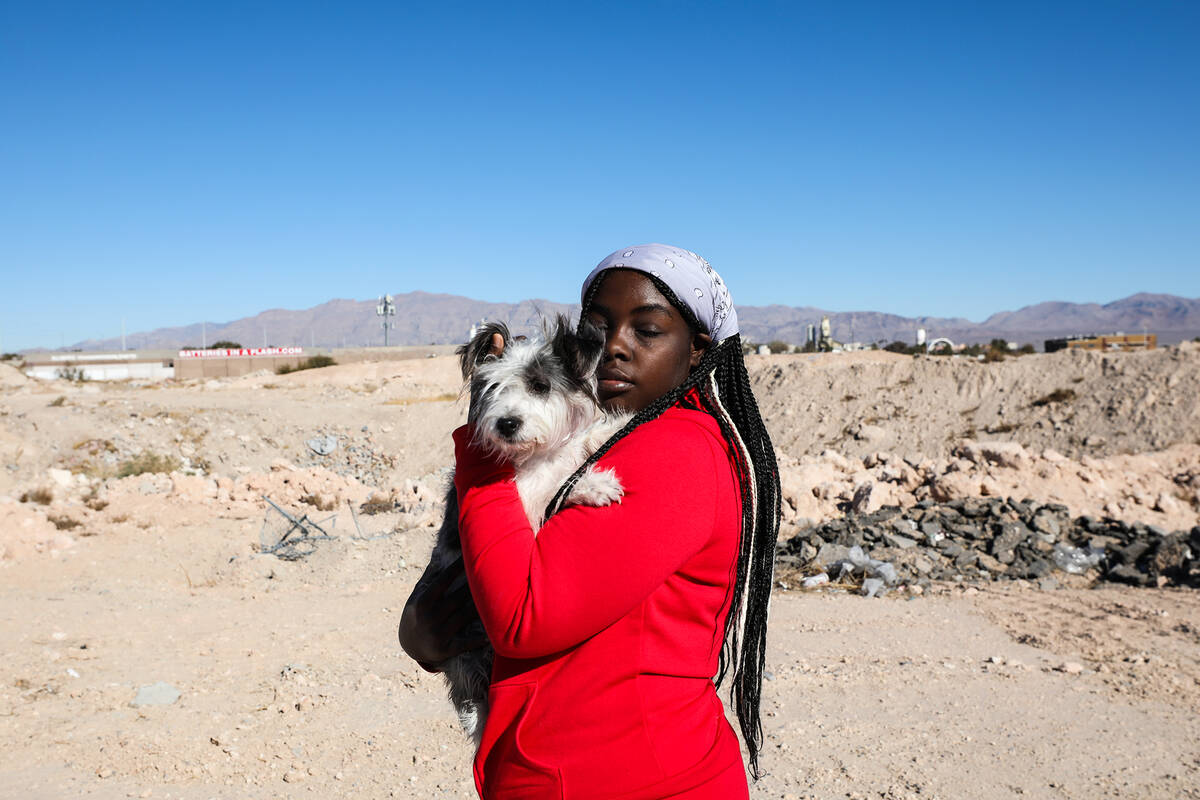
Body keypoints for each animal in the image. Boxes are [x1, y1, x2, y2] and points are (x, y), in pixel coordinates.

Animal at [436, 316, 633, 748]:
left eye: (540, 385)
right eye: (492, 387)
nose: (507, 423)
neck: (535, 457)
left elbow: (580, 443)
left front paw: (618, 422)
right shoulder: (523, 520)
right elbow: (553, 495)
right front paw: (591, 485)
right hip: (466, 655)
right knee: (474, 697)